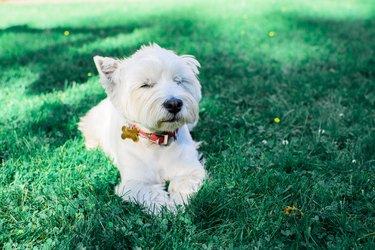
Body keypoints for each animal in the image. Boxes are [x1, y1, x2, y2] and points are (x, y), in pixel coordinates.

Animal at [79, 43, 207, 213]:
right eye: (145, 85)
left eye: (178, 81)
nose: (174, 104)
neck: (158, 141)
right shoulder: (134, 182)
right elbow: (151, 193)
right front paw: (164, 210)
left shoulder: (190, 170)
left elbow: (182, 185)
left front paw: (176, 205)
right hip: (92, 122)